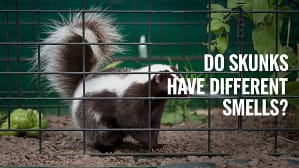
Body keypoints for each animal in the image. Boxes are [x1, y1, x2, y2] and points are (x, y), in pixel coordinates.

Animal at [32, 10, 183, 151]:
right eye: (172, 84)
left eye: (182, 80)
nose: (187, 92)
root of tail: (81, 85)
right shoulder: (131, 101)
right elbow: (132, 123)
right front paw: (149, 145)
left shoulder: (154, 106)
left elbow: (154, 125)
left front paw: (156, 144)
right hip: (91, 114)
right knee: (101, 132)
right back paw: (105, 148)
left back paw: (121, 143)